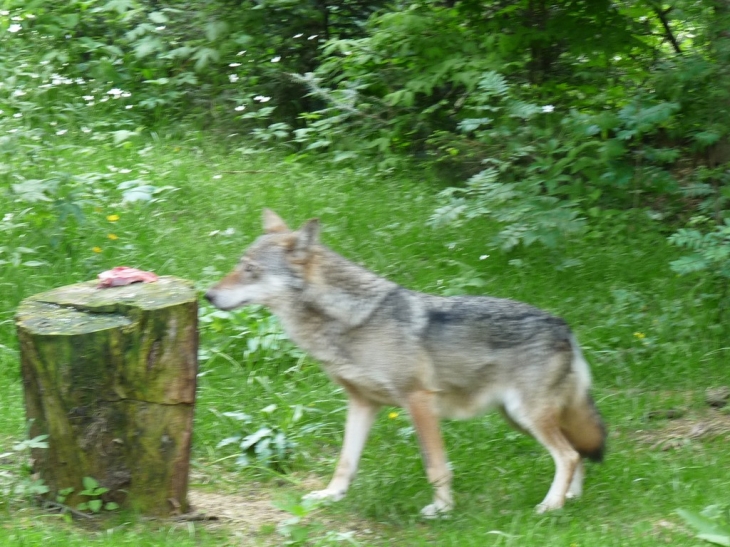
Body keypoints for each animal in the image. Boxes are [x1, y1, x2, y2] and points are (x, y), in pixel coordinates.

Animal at [203, 210, 604, 520]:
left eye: (250, 269)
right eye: (239, 265)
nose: (207, 294)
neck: (351, 320)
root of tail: (563, 326)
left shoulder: (418, 400)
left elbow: (436, 466)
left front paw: (441, 510)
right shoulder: (362, 403)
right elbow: (345, 462)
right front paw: (330, 497)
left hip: (526, 416)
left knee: (567, 455)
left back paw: (550, 507)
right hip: (520, 418)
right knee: (576, 453)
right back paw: (570, 499)